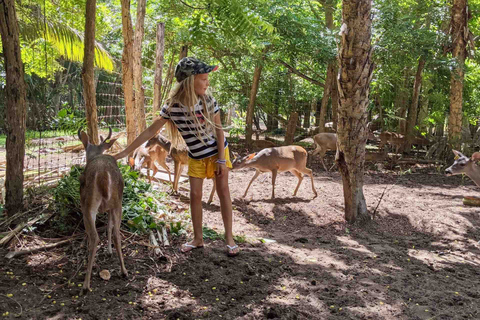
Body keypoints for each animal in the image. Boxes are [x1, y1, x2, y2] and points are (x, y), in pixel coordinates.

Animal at [77, 127, 126, 292]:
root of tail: (103, 174)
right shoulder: (111, 206)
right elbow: (109, 226)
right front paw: (110, 251)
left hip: (88, 204)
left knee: (94, 237)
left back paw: (86, 285)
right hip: (117, 201)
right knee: (117, 233)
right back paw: (124, 271)